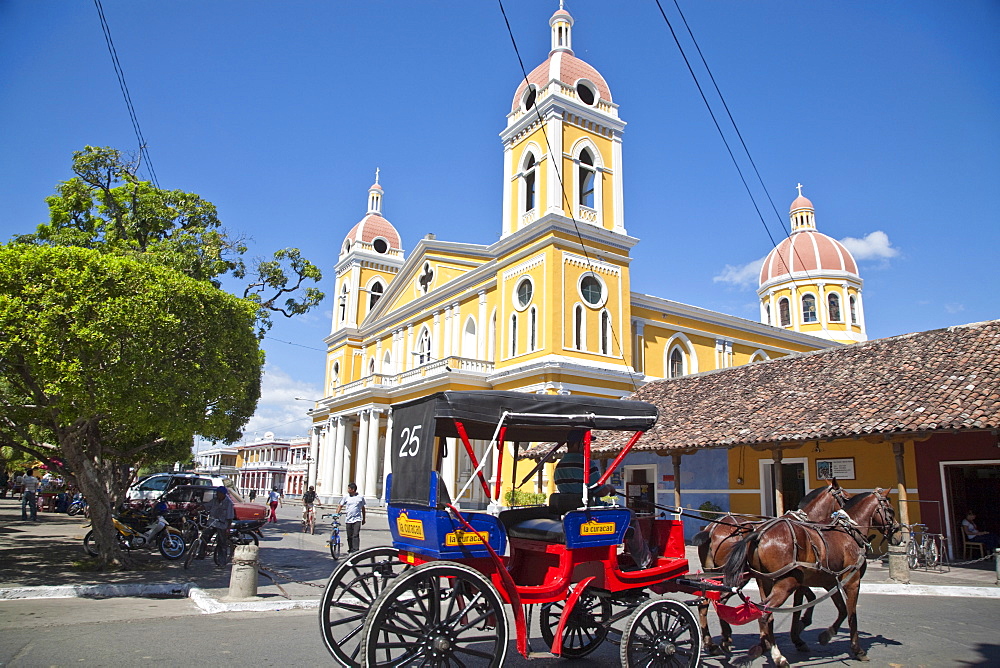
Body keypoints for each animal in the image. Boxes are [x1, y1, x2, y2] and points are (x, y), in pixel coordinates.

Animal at [696, 480, 852, 656]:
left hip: (717, 574)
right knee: (717, 601)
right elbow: (803, 602)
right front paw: (797, 634)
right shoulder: (794, 576)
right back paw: (723, 639)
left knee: (706, 602)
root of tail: (711, 529)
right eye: (846, 497)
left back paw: (712, 642)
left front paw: (768, 640)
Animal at [720, 488, 900, 664]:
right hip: (785, 582)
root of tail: (758, 534)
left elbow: (840, 610)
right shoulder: (852, 581)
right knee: (764, 614)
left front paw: (823, 635)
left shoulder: (830, 581)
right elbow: (851, 615)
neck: (848, 532)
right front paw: (858, 649)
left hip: (763, 580)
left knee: (748, 607)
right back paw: (777, 656)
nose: (898, 535)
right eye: (891, 510)